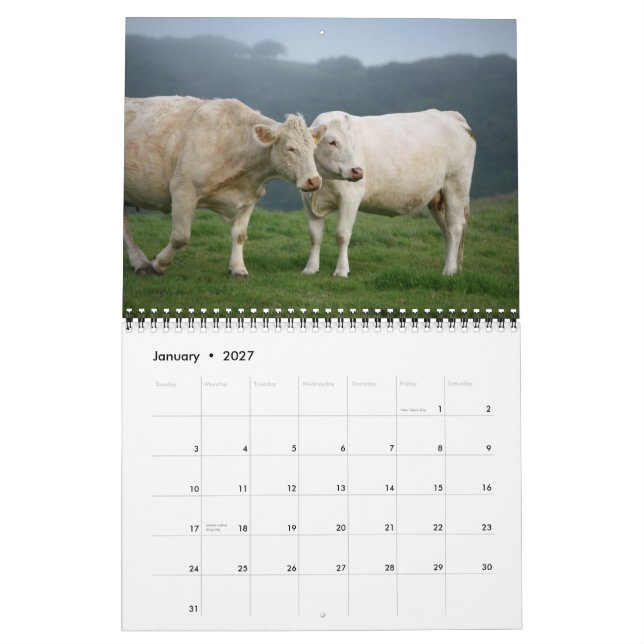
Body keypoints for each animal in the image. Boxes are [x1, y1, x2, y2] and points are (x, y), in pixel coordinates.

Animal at [123, 96, 325, 277]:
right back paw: (140, 263)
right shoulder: (183, 190)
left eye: (313, 149)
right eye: (290, 148)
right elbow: (180, 237)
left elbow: (239, 235)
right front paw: (159, 264)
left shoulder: (249, 198)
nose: (314, 181)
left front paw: (238, 268)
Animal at [300, 109, 476, 277]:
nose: (357, 171)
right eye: (332, 142)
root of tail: (450, 115)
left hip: (456, 184)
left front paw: (342, 270)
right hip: (437, 198)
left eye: (353, 143)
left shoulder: (350, 197)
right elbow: (315, 236)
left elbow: (342, 235)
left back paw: (449, 270)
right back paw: (453, 266)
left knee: (455, 227)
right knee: (446, 231)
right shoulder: (308, 200)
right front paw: (310, 268)